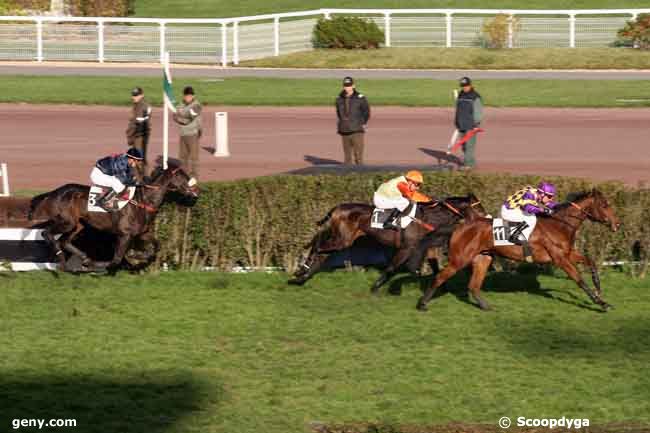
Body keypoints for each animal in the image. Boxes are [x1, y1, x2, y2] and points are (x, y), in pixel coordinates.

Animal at [286, 194, 484, 292]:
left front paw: (440, 286)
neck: (428, 217)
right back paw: (301, 271)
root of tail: (337, 208)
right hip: (343, 240)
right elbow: (392, 268)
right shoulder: (406, 248)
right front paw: (376, 286)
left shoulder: (425, 247)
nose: (488, 217)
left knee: (322, 251)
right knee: (318, 246)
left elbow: (434, 267)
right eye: (479, 207)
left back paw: (301, 277)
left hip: (342, 239)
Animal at [416, 189, 616, 310]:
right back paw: (422, 304)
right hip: (460, 259)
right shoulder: (560, 259)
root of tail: (460, 226)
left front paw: (599, 291)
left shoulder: (568, 254)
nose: (617, 224)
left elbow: (592, 264)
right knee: (440, 277)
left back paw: (486, 306)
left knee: (473, 285)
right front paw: (600, 302)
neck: (559, 225)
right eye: (605, 205)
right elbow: (579, 279)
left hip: (483, 258)